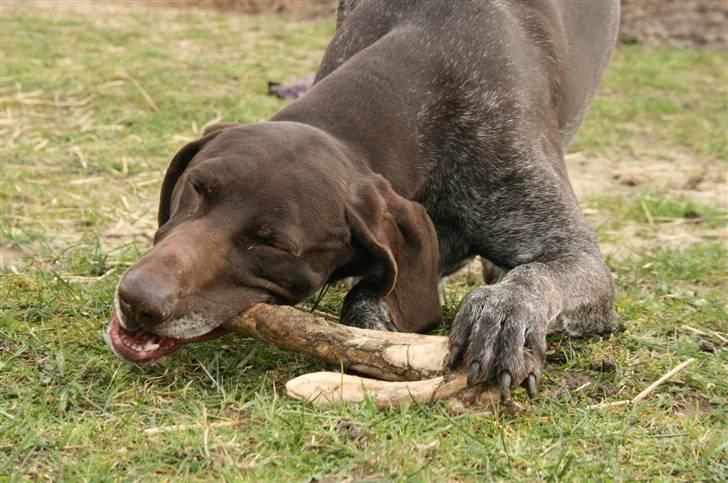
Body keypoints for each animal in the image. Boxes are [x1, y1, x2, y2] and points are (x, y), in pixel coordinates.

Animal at [106, 0, 620, 398]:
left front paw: (500, 312)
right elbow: (373, 297)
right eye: (195, 189)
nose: (137, 299)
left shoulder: (578, 258)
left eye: (272, 244)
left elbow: (535, 276)